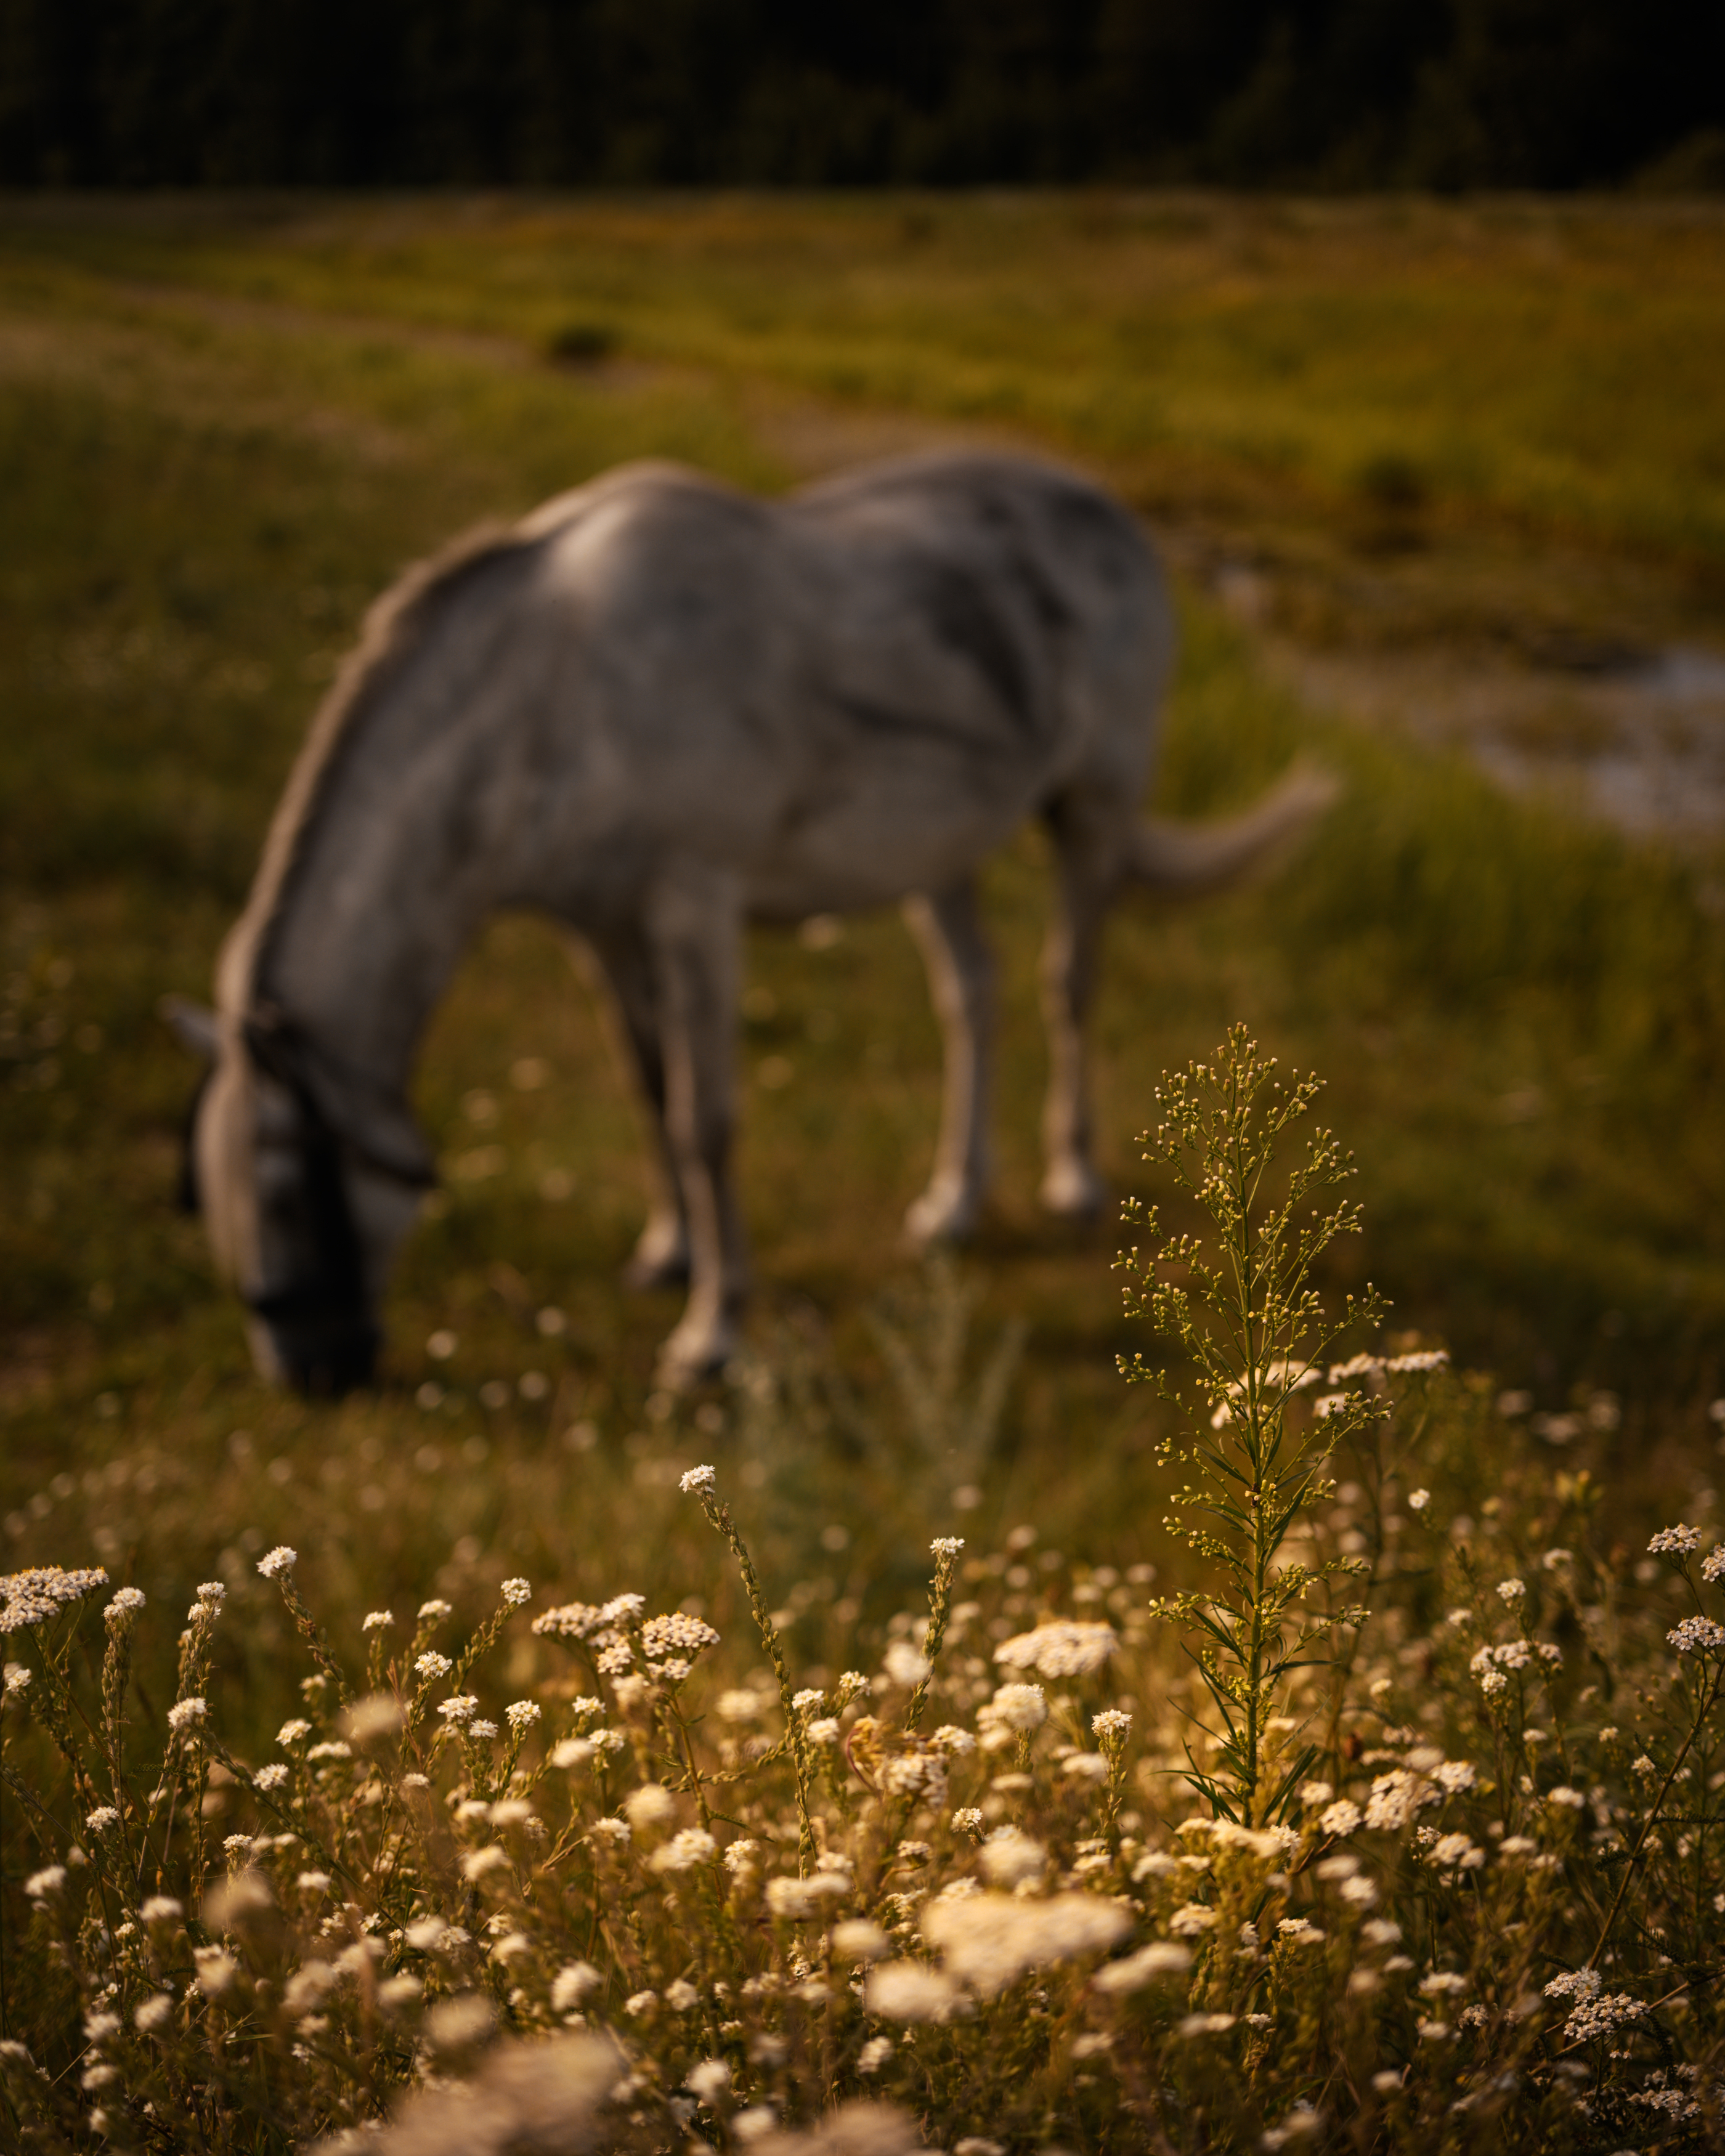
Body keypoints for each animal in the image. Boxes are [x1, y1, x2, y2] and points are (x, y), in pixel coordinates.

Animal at [168, 455, 1328, 1397]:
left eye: (283, 1183)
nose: (311, 1375)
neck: (556, 695)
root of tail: (1115, 514)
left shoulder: (694, 904)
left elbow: (706, 1119)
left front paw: (711, 1334)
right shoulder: (602, 926)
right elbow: (650, 1088)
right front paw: (669, 1254)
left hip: (1092, 805)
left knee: (1066, 986)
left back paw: (1070, 1181)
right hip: (939, 848)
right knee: (975, 994)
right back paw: (953, 1203)